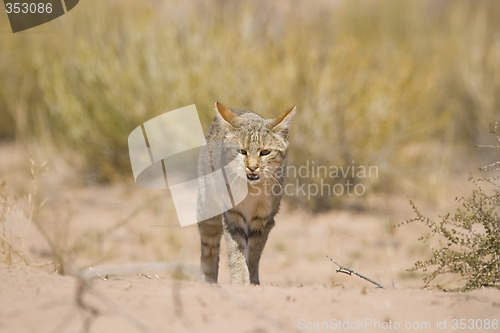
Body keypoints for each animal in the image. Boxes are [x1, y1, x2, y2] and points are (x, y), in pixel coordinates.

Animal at [197, 101, 294, 282]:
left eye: (265, 152)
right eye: (242, 151)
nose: (252, 167)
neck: (252, 189)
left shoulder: (263, 219)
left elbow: (254, 255)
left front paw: (252, 281)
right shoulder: (232, 215)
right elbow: (236, 252)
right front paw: (240, 280)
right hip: (208, 210)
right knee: (209, 249)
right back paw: (207, 281)